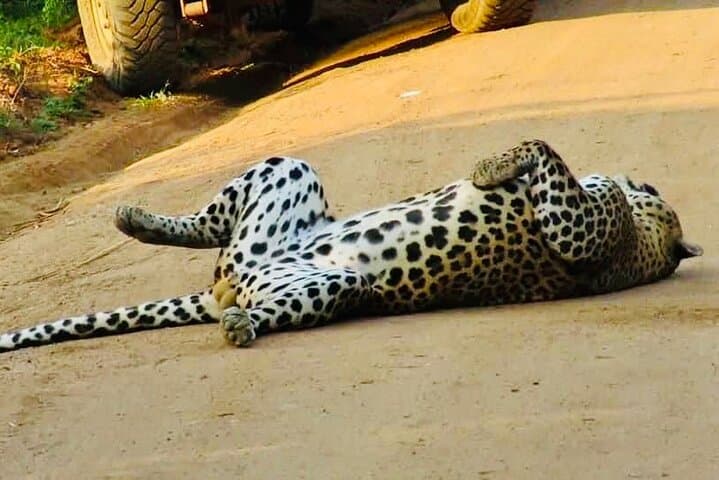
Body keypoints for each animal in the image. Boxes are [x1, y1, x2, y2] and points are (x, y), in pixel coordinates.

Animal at [0, 139, 702, 353]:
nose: (642, 178)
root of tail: (221, 288)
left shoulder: (578, 227)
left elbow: (543, 148)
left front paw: (489, 167)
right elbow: (546, 150)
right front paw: (492, 168)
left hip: (332, 278)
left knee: (252, 298)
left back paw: (237, 325)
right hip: (287, 174)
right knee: (203, 223)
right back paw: (134, 218)